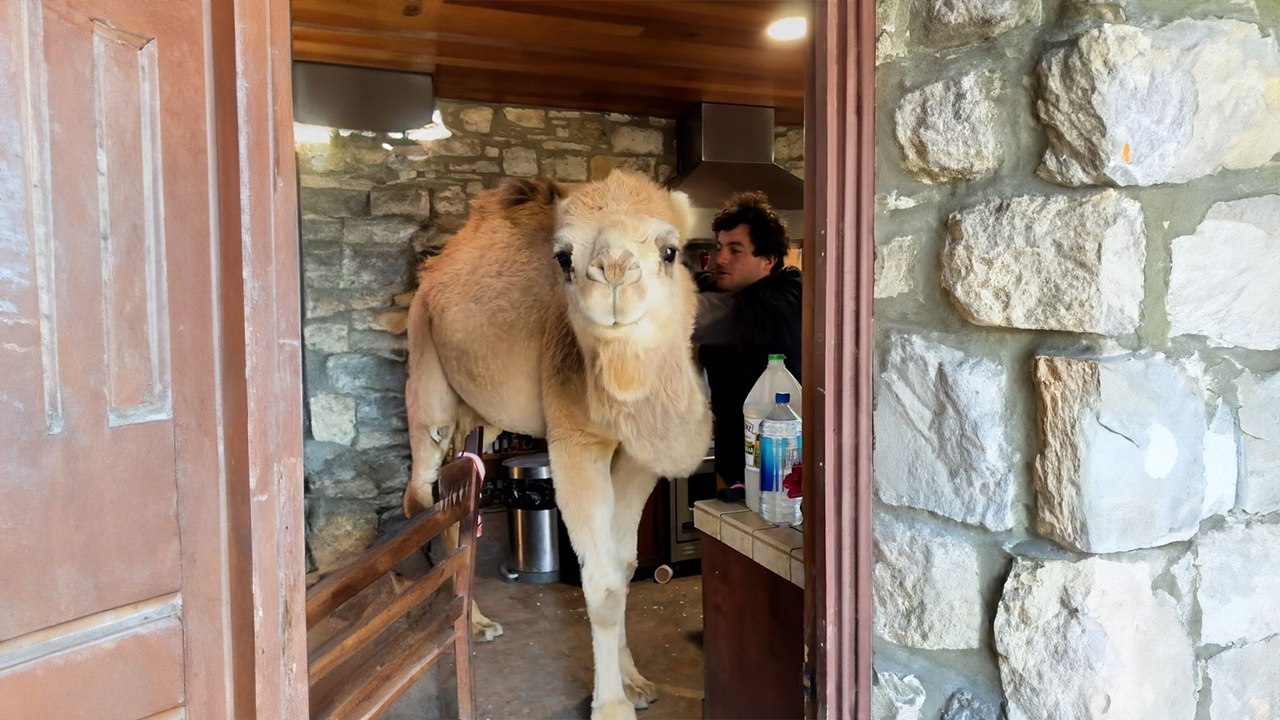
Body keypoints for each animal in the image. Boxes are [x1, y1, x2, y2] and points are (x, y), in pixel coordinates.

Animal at [402, 170, 713, 719]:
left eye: (670, 250)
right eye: (563, 257)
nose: (613, 272)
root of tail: (431, 277)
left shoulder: (635, 459)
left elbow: (625, 565)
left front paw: (635, 682)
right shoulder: (575, 443)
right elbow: (603, 582)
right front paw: (611, 705)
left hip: (477, 417)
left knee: (459, 493)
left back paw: (476, 619)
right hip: (426, 370)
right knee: (420, 493)